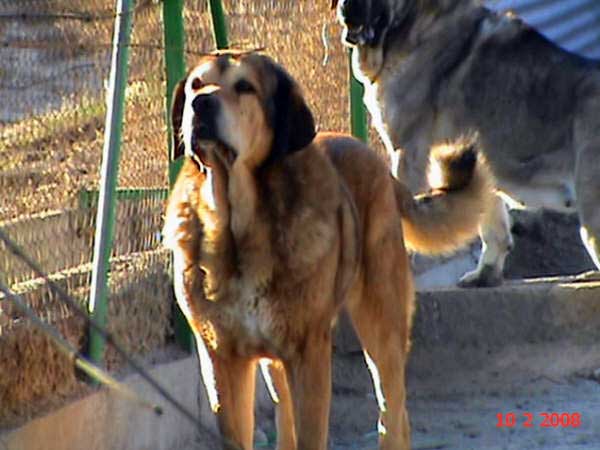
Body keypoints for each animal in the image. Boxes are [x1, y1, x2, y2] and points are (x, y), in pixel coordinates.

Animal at [161, 53, 492, 450]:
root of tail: (376, 161)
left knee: (393, 412)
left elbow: (312, 434)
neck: (239, 229)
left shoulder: (309, 353)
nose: (201, 104)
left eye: (244, 87)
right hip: (277, 361)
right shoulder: (222, 359)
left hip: (381, 326)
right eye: (196, 84)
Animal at [336, 0, 600, 286]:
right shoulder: (481, 167)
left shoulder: (408, 153)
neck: (411, 25)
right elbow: (493, 228)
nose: (347, 8)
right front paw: (486, 274)